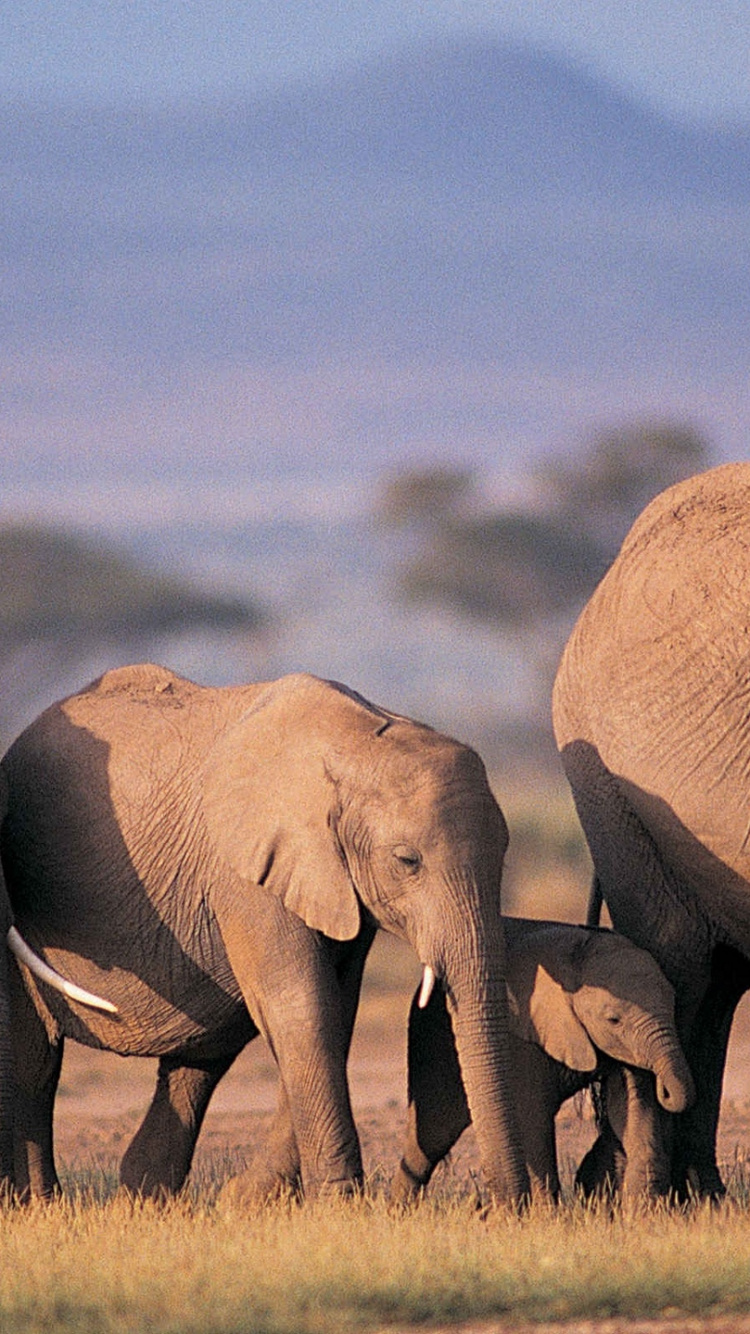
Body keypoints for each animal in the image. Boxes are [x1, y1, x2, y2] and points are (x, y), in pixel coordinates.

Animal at [0, 663, 530, 1206]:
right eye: (407, 861)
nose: (501, 1208)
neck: (359, 742)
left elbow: (335, 1008)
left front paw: (251, 1201)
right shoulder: (246, 873)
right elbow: (301, 1005)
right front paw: (339, 1205)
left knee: (199, 1060)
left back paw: (144, 1201)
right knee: (34, 1061)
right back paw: (40, 1203)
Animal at [392, 916, 694, 1204]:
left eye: (673, 1003)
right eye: (613, 1019)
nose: (665, 1089)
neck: (579, 953)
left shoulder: (627, 1047)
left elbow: (633, 1108)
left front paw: (643, 1212)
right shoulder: (521, 1035)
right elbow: (532, 1114)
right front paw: (548, 1216)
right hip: (433, 1034)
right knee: (436, 1127)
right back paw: (401, 1210)